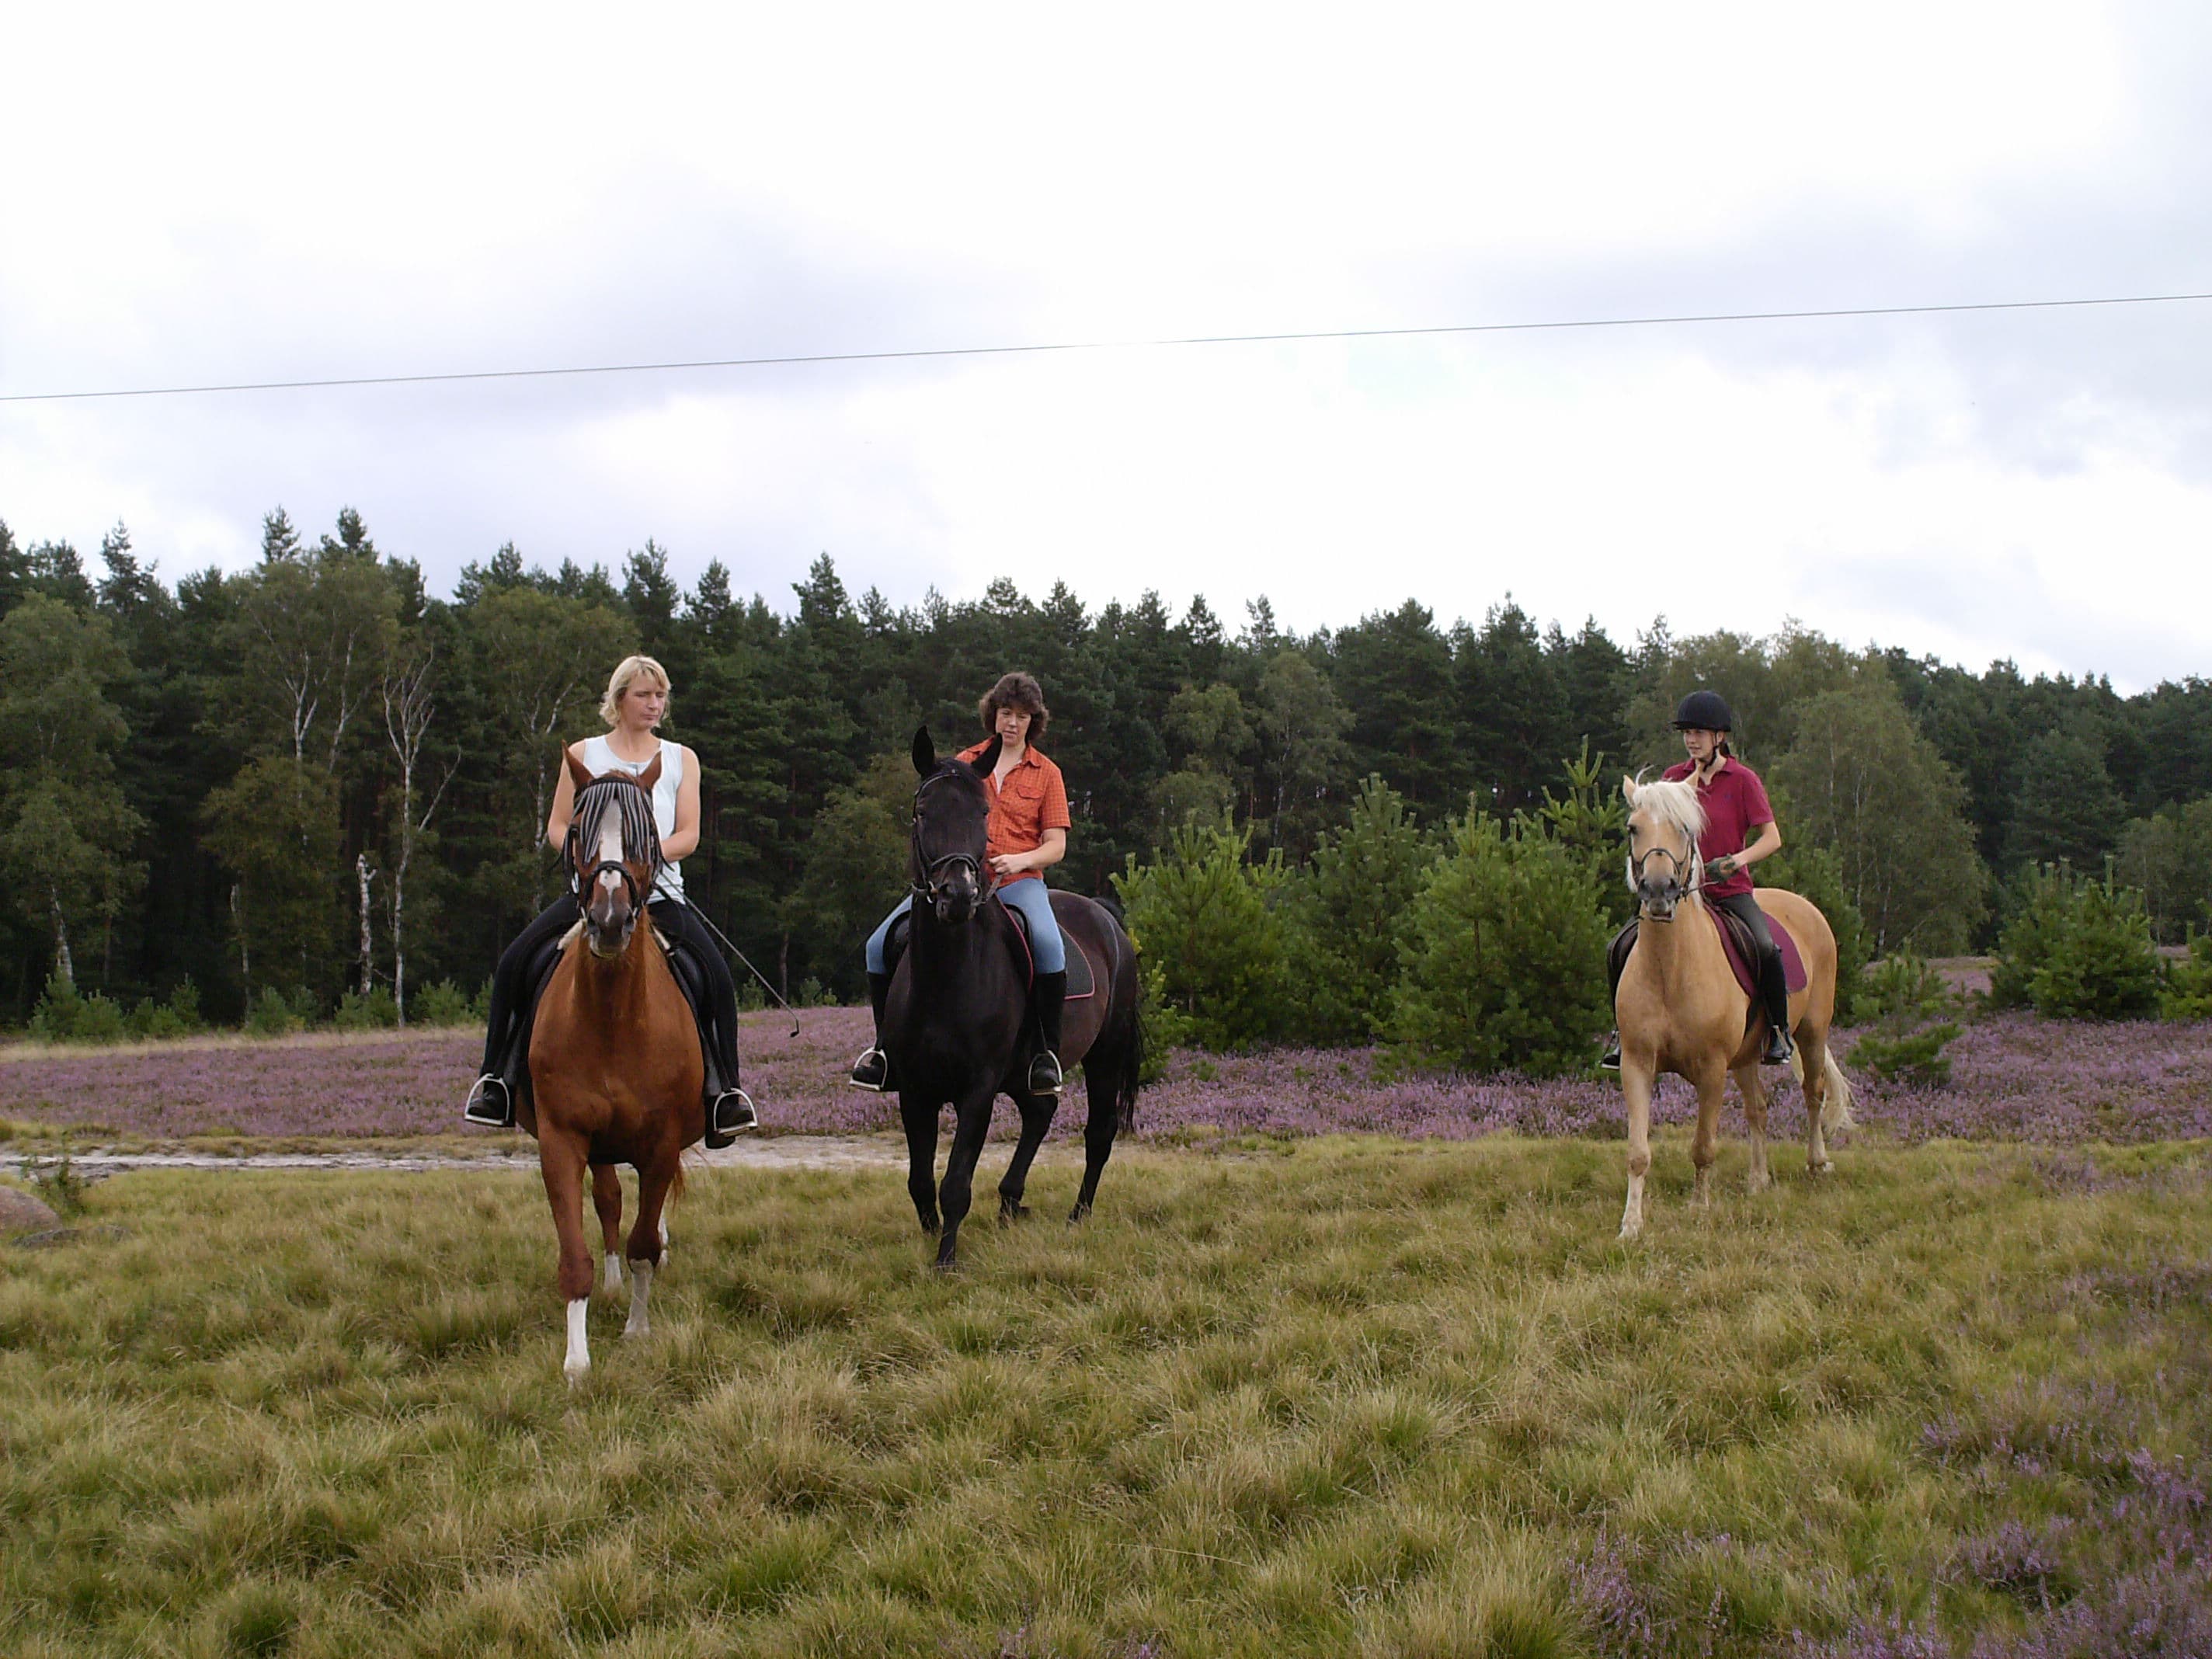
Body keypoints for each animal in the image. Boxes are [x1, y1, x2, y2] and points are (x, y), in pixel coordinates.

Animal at [517, 760, 698, 1380]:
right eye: (577, 832)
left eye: (648, 835)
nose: (610, 922)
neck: (614, 1020)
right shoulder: (562, 1138)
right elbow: (577, 1252)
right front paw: (576, 1362)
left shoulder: (662, 1141)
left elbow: (645, 1238)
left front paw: (638, 1331)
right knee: (610, 1200)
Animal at [889, 725, 1149, 1274]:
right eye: (922, 811)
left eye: (982, 813)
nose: (958, 895)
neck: (947, 978)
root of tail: (1105, 915)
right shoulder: (913, 1089)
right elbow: (920, 1179)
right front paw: (929, 1239)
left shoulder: (979, 1088)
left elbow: (956, 1183)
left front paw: (946, 1260)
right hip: (1024, 1070)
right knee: (1039, 1112)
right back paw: (1010, 1199)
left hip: (1105, 1052)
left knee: (1098, 1132)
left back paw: (1077, 1215)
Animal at [1619, 783, 1858, 1247]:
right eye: (1634, 828)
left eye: (1685, 828)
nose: (1658, 891)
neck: (1670, 968)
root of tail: (1807, 907)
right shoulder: (1636, 1063)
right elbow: (1637, 1152)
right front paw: (1631, 1225)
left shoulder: (1712, 1069)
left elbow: (1703, 1146)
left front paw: (1699, 1208)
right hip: (1747, 1055)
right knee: (1758, 1109)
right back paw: (1758, 1180)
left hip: (1813, 1031)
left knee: (1813, 1092)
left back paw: (1817, 1163)